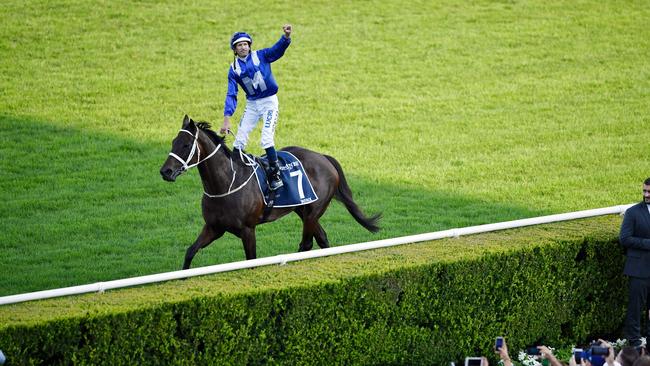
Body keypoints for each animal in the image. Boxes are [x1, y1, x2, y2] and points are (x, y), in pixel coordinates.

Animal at [159, 115, 380, 268]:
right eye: (173, 142)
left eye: (186, 144)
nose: (165, 171)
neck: (226, 184)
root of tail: (324, 157)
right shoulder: (214, 227)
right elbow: (190, 252)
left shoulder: (248, 230)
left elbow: (251, 261)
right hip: (302, 209)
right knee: (322, 239)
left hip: (313, 211)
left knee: (307, 243)